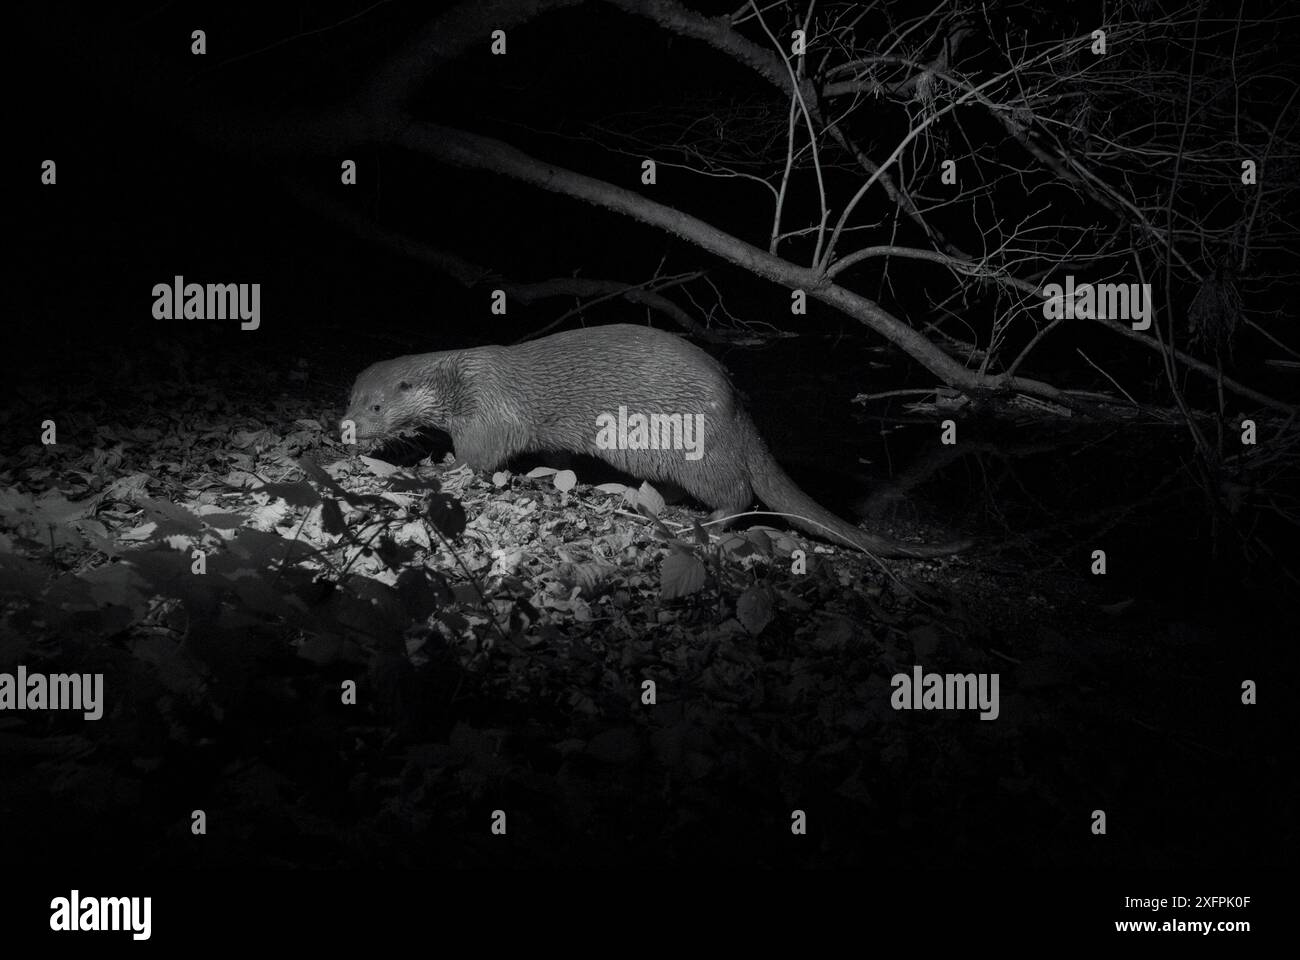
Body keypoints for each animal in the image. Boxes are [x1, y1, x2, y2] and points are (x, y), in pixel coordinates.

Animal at [340, 325, 972, 556]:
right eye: (350, 398)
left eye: (377, 406)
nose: (347, 428)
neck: (460, 379)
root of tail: (737, 406)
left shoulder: (489, 413)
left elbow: (479, 456)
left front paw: (435, 467)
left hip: (699, 451)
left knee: (738, 494)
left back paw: (700, 526)